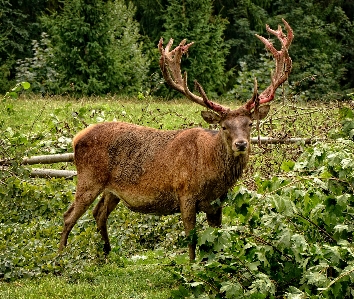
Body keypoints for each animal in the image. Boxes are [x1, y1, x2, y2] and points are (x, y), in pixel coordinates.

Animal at [58, 19, 294, 262]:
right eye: (224, 126)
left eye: (249, 124)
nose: (241, 144)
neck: (211, 172)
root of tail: (76, 138)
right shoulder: (185, 194)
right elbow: (191, 238)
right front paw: (191, 265)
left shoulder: (217, 203)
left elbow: (216, 237)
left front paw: (217, 262)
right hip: (88, 178)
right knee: (69, 216)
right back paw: (59, 258)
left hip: (111, 190)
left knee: (99, 213)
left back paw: (106, 252)